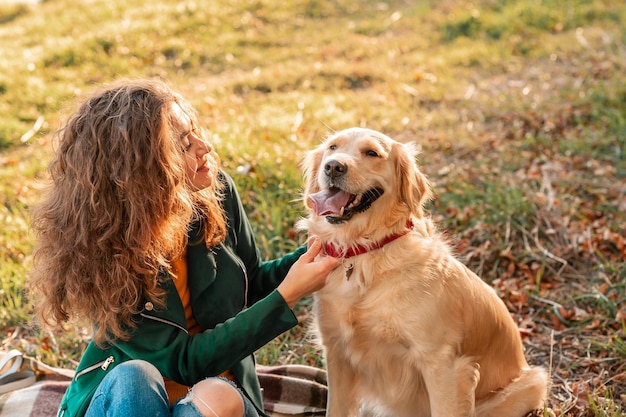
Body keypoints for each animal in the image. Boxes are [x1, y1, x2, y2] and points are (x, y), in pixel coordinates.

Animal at [298, 127, 544, 416]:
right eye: (332, 148)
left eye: (372, 153)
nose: (333, 167)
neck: (364, 251)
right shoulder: (337, 352)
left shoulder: (441, 363)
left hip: (531, 383)